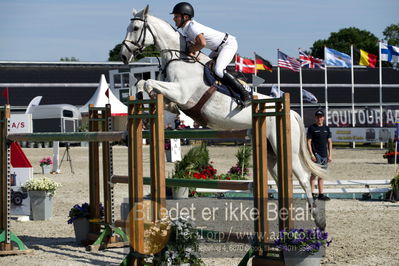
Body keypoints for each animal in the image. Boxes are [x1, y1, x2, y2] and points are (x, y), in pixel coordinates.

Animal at [121, 5, 328, 231]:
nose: (123, 56)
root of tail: (290, 111)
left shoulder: (181, 92)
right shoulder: (174, 98)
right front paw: (141, 101)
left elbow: (149, 83)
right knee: (282, 176)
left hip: (286, 148)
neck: (180, 58)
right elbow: (148, 87)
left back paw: (318, 220)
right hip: (271, 151)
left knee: (303, 177)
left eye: (136, 28)